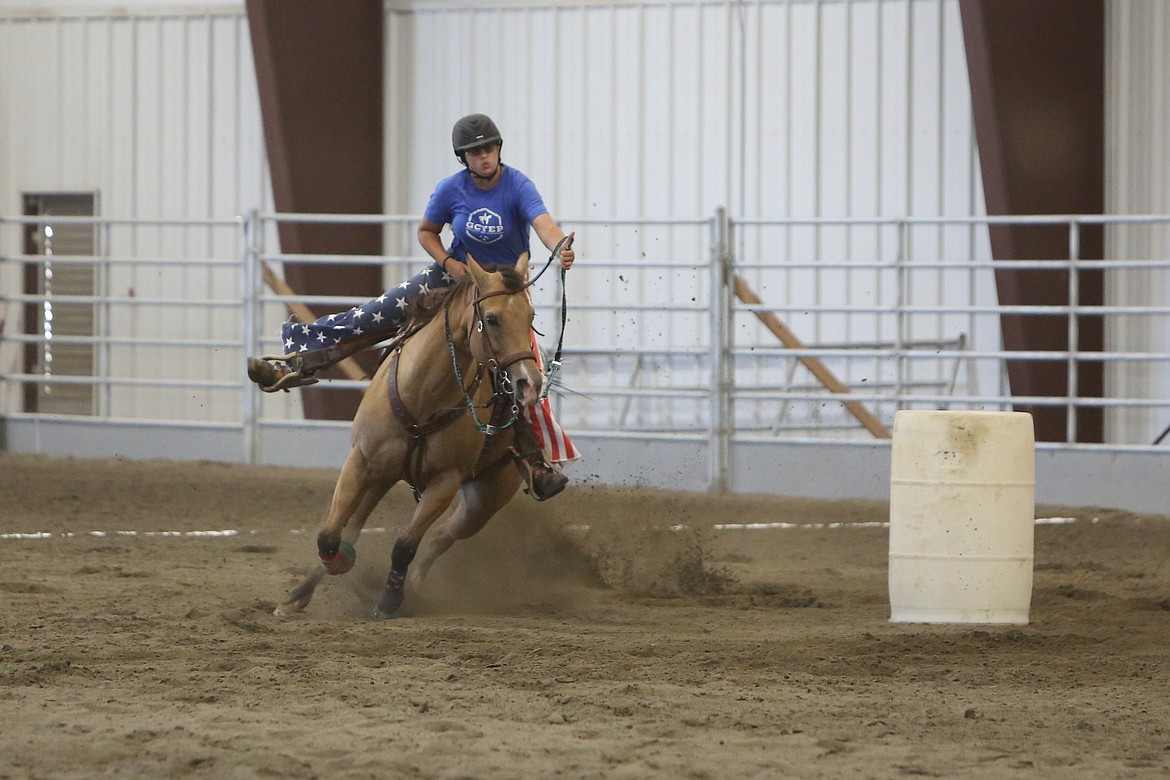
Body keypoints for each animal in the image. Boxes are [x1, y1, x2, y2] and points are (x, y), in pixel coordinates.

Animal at [274, 253, 542, 617]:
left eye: (530, 316)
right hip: (384, 474)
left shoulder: (446, 481)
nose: (530, 383)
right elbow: (330, 535)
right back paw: (299, 596)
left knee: (442, 536)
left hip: (485, 498)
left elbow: (405, 544)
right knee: (354, 528)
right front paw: (329, 573)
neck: (422, 396)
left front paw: (389, 601)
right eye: (492, 318)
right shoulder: (360, 460)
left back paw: (413, 586)